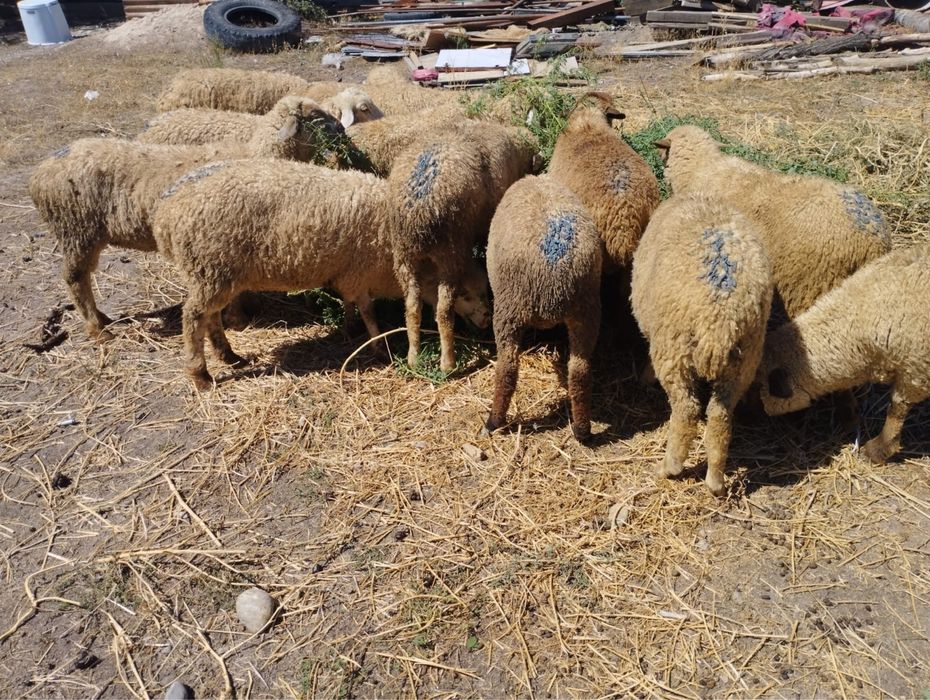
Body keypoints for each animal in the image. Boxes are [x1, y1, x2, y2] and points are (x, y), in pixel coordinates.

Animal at [29, 97, 343, 341]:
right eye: (316, 116)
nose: (342, 129)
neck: (258, 152)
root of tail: (40, 173)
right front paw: (238, 320)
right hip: (76, 231)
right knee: (74, 279)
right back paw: (98, 329)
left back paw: (102, 318)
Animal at [152, 157, 491, 389]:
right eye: (465, 294)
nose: (487, 323)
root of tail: (166, 212)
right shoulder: (361, 270)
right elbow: (368, 311)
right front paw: (378, 346)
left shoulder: (350, 273)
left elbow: (351, 303)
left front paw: (350, 327)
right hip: (212, 268)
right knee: (193, 317)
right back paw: (200, 374)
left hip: (215, 273)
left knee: (209, 316)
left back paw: (229, 356)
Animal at [390, 121, 538, 374]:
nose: (486, 319)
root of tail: (419, 210)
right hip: (450, 253)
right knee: (444, 311)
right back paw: (448, 363)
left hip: (404, 257)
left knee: (411, 307)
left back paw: (413, 357)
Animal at [484, 175, 602, 443]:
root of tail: (554, 271)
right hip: (586, 309)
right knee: (579, 371)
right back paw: (582, 430)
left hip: (509, 308)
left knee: (507, 369)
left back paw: (494, 421)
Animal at [631, 192, 773, 496]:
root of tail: (720, 318)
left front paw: (645, 376)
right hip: (744, 358)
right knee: (720, 416)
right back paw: (716, 481)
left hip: (674, 350)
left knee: (686, 412)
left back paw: (670, 468)